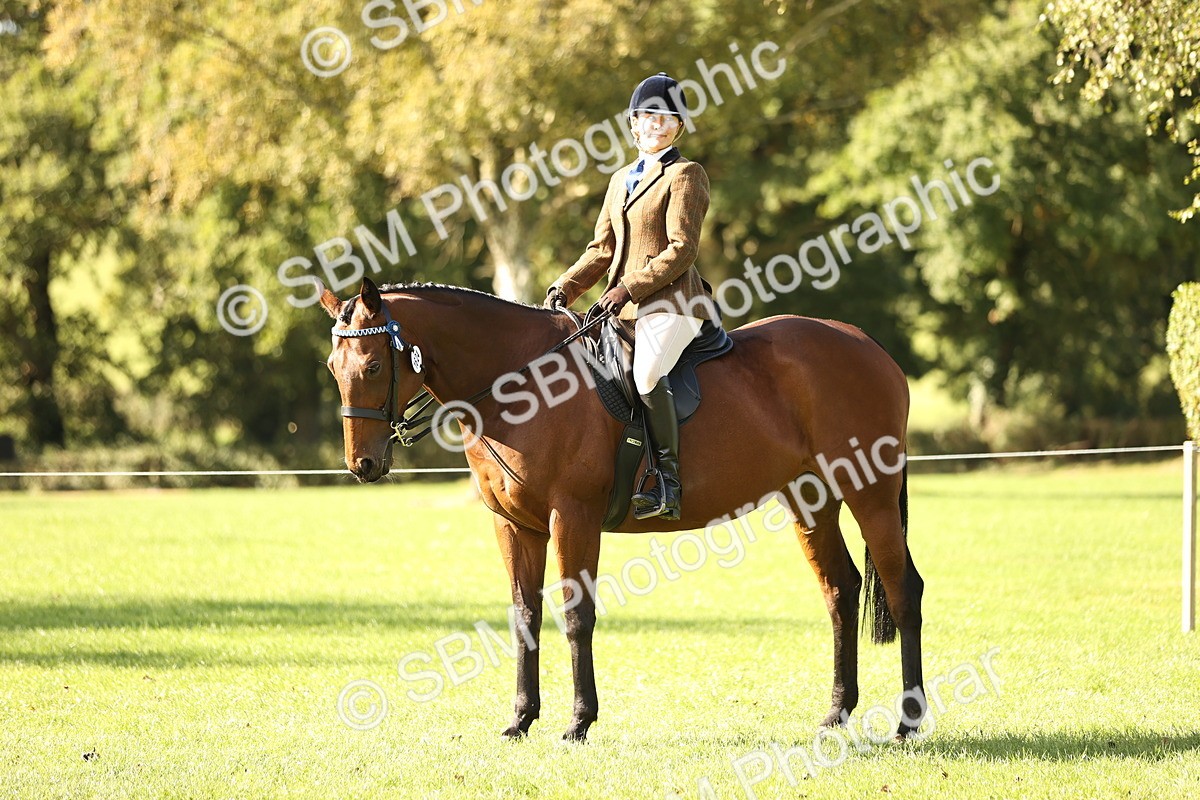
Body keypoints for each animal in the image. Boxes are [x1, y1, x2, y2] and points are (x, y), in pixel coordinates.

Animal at [317, 276, 924, 742]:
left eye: (372, 367)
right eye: (331, 365)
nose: (362, 464)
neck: (521, 385)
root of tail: (867, 345)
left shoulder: (573, 518)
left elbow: (576, 616)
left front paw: (578, 723)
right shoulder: (514, 526)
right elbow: (525, 616)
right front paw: (521, 720)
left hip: (870, 493)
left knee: (902, 589)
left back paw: (908, 722)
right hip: (809, 498)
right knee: (841, 590)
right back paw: (836, 713)